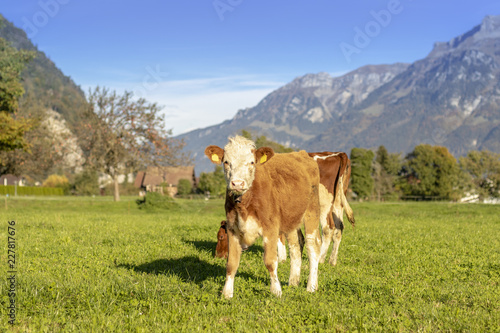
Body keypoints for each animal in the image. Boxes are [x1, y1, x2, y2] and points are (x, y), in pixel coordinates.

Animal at [204, 136, 324, 298]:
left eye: (252, 162)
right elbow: (231, 264)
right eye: (226, 162)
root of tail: (301, 153)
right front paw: (227, 293)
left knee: (312, 246)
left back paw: (311, 286)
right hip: (291, 219)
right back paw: (293, 282)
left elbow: (270, 261)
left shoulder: (270, 229)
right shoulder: (232, 229)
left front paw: (276, 291)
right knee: (295, 247)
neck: (245, 203)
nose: (237, 183)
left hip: (312, 211)